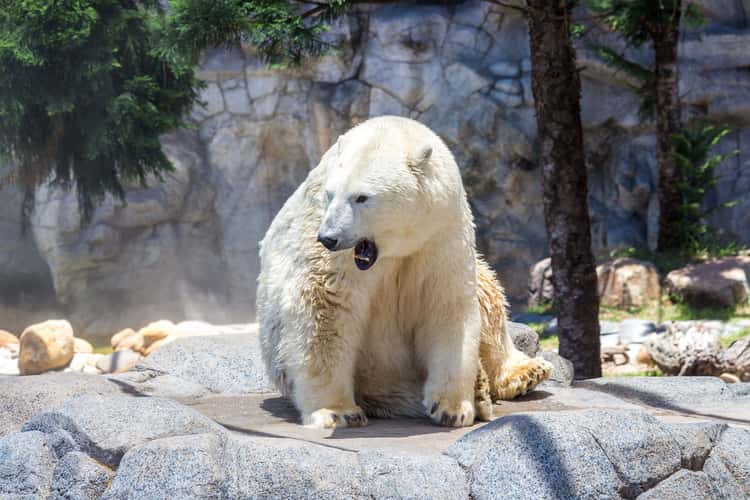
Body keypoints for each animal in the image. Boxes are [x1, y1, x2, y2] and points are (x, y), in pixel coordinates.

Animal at [257, 116, 552, 428]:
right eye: (330, 193)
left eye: (361, 197)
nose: (328, 237)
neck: (394, 247)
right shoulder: (334, 256)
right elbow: (325, 312)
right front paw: (338, 412)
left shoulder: (441, 235)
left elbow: (447, 307)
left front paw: (451, 408)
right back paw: (481, 390)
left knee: (488, 296)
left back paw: (523, 372)